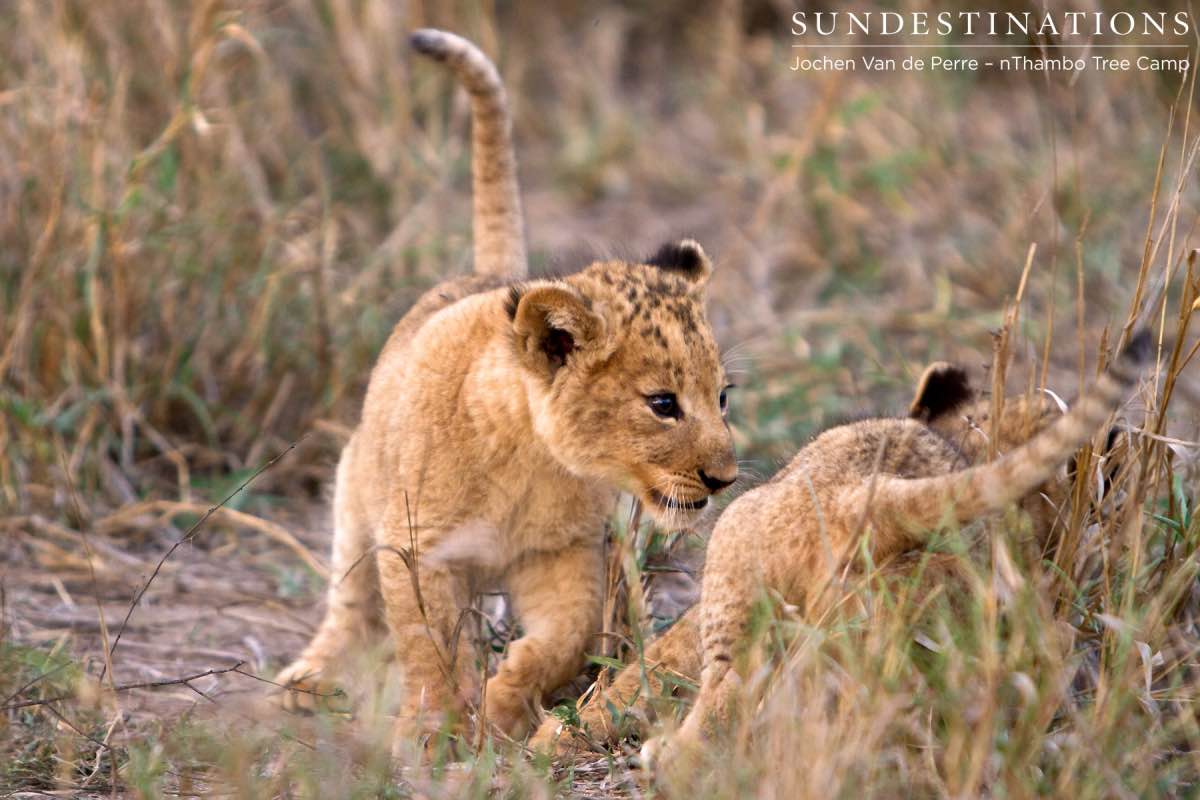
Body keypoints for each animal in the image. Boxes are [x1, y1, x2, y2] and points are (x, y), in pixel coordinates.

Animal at [273, 29, 738, 750]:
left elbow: (565, 639)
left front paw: (507, 706)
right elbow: (426, 643)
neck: (530, 459)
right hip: (354, 489)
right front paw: (432, 725)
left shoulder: (560, 554)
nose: (725, 480)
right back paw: (310, 679)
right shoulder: (418, 547)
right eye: (664, 405)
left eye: (722, 398)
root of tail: (488, 274)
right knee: (350, 603)